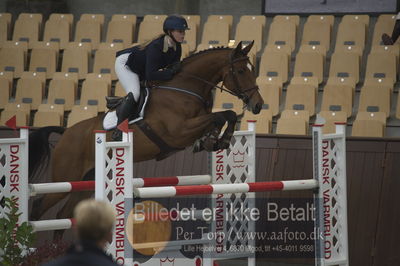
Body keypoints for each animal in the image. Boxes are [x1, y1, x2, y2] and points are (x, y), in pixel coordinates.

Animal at [28, 40, 266, 236]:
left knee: (64, 216)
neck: (185, 89)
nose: (258, 105)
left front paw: (213, 140)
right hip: (67, 176)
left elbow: (225, 116)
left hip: (87, 181)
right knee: (40, 206)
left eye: (252, 71)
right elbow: (221, 115)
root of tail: (66, 132)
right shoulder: (179, 132)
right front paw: (219, 139)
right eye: (241, 71)